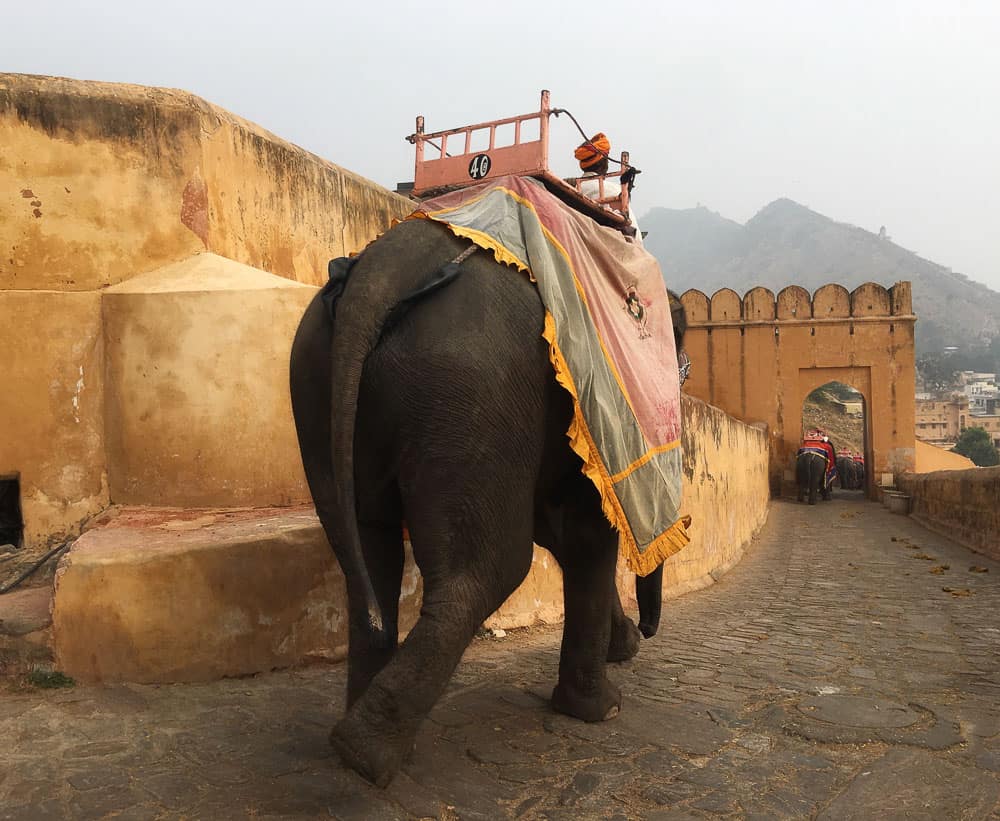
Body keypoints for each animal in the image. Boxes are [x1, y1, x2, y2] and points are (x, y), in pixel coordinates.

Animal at [290, 219, 688, 788]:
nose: (647, 632)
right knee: (490, 569)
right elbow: (585, 534)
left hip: (322, 381)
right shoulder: (586, 406)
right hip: (470, 392)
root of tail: (380, 271)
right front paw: (603, 709)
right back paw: (365, 754)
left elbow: (566, 535)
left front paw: (621, 653)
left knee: (366, 551)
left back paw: (361, 739)